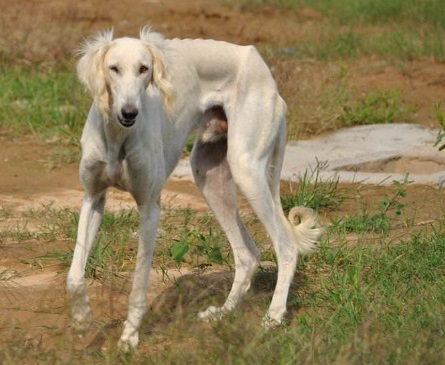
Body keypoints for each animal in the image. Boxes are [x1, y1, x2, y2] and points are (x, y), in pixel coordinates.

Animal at [67, 27, 322, 348]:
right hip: (207, 173)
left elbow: (139, 284)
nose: (129, 113)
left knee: (286, 247)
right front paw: (81, 318)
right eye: (113, 68)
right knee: (247, 254)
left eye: (144, 69)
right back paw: (223, 313)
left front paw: (129, 337)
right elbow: (74, 275)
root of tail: (260, 65)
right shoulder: (93, 196)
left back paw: (273, 317)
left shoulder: (149, 208)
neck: (117, 136)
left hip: (246, 169)